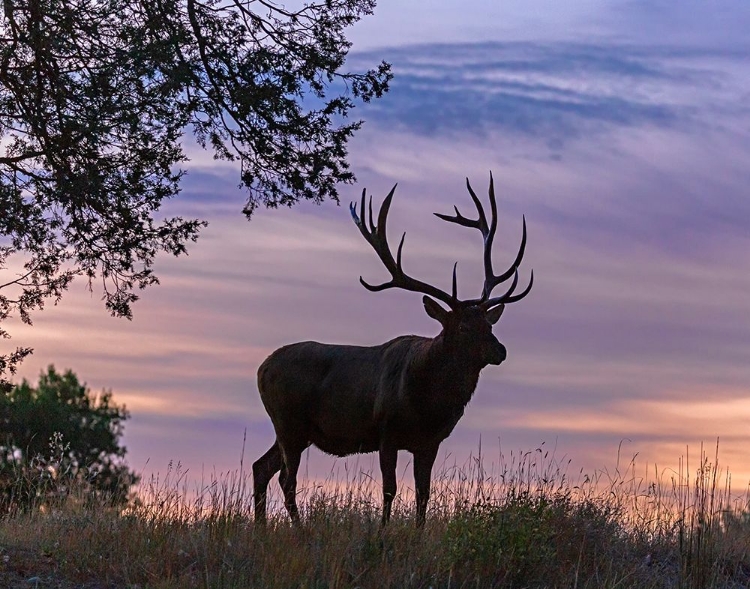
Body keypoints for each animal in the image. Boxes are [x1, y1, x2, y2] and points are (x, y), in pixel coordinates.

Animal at [254, 173, 536, 524]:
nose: (500, 351)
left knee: (261, 467)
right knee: (285, 479)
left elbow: (423, 494)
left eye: (489, 325)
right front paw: (382, 531)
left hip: (294, 430)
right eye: (462, 327)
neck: (429, 404)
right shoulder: (386, 432)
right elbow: (389, 490)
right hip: (288, 422)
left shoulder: (429, 442)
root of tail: (261, 369)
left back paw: (262, 527)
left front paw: (417, 532)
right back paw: (300, 529)